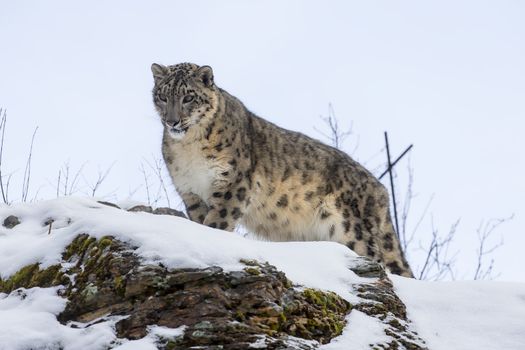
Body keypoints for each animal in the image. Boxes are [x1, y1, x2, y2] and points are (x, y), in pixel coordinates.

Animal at [149, 62, 412, 276]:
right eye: (162, 96)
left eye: (188, 97)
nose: (172, 121)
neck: (189, 147)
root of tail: (380, 191)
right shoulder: (190, 192)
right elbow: (199, 221)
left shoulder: (232, 185)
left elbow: (216, 223)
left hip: (351, 230)